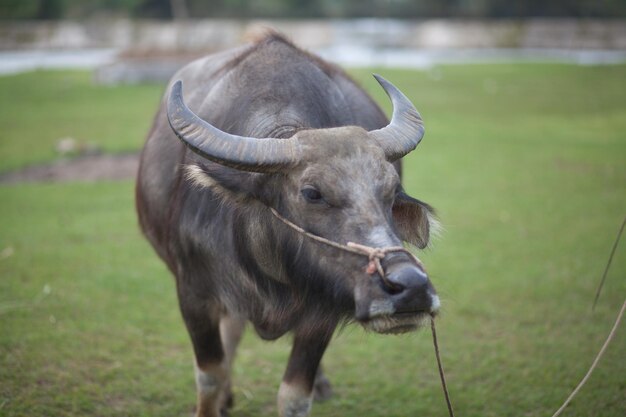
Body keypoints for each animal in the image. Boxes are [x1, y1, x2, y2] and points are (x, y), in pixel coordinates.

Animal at [136, 32, 438, 416]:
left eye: (390, 190)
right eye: (312, 193)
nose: (411, 286)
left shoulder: (321, 312)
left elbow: (294, 396)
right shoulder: (193, 294)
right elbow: (210, 376)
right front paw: (214, 399)